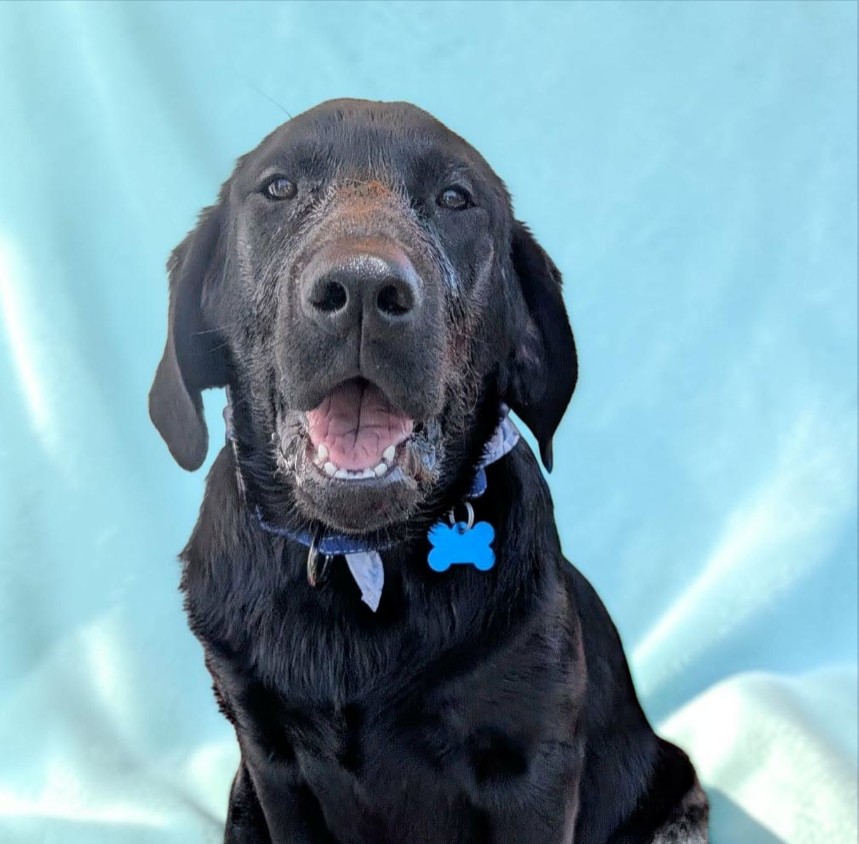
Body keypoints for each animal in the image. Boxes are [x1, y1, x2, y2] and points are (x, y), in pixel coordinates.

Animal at [149, 99, 708, 844]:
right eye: (277, 188)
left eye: (454, 198)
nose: (362, 287)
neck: (359, 563)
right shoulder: (268, 761)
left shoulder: (533, 764)